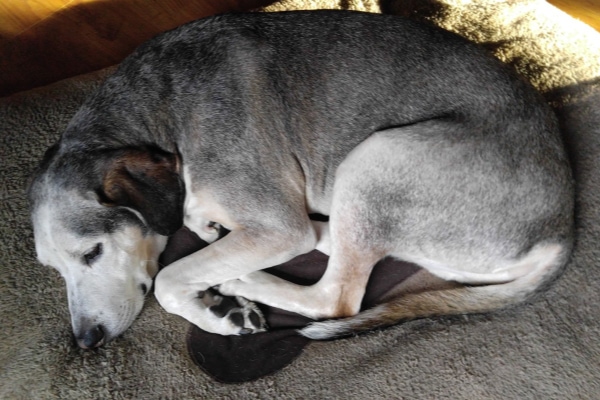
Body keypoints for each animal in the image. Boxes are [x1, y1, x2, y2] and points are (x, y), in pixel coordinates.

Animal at [28, 10, 572, 350]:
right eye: (53, 269)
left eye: (92, 253)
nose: (85, 342)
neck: (160, 116)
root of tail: (561, 231)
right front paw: (206, 235)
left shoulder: (276, 226)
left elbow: (167, 280)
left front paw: (218, 313)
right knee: (344, 247)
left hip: (377, 159)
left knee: (334, 297)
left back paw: (243, 278)